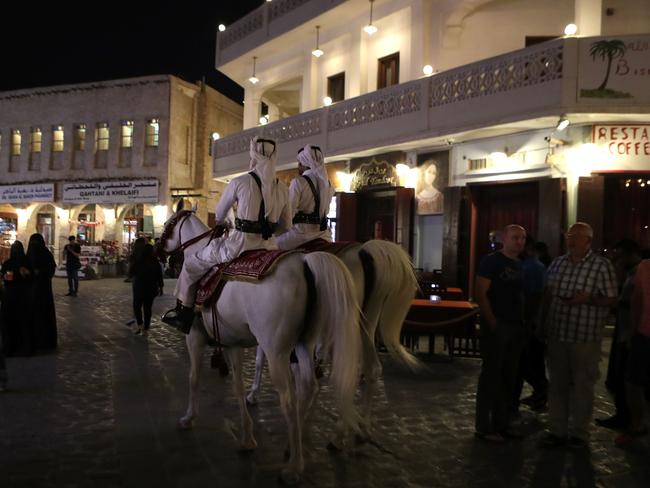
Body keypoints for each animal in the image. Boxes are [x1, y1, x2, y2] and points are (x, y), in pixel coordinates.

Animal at [157, 210, 360, 484]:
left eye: (168, 224)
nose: (157, 249)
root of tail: (305, 262)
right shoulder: (232, 343)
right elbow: (237, 386)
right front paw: (246, 438)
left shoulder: (195, 337)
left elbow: (194, 377)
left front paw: (189, 417)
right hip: (303, 345)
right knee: (309, 387)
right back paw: (292, 446)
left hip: (277, 352)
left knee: (289, 400)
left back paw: (294, 467)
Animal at [246, 238, 418, 440]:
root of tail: (363, 251)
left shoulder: (268, 332)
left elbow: (260, 359)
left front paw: (253, 394)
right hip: (366, 323)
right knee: (371, 368)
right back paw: (362, 426)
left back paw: (342, 429)